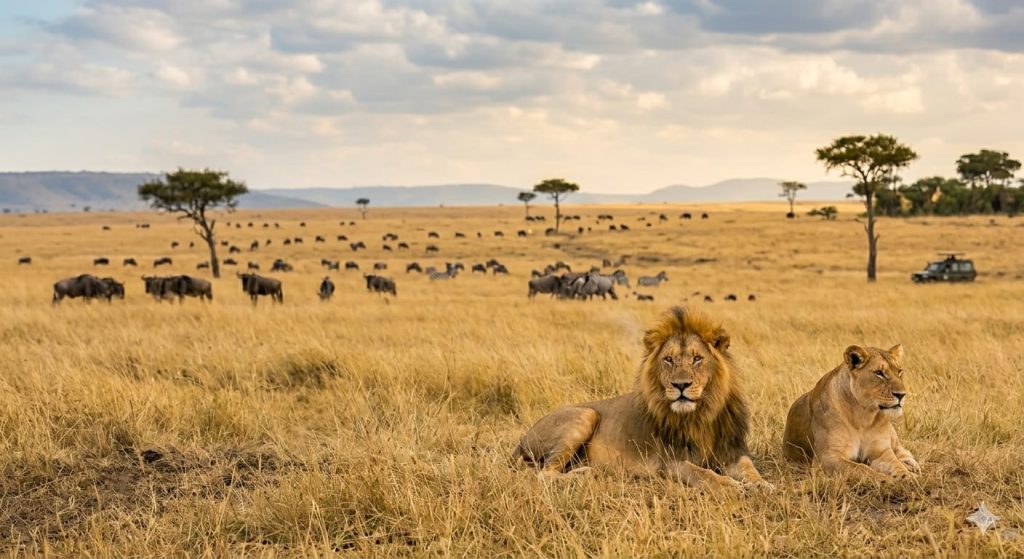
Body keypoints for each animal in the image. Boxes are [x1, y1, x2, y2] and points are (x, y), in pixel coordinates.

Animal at [512, 306, 770, 490]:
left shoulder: (732, 451)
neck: (702, 414)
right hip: (586, 414)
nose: (681, 385)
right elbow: (704, 474)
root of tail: (521, 440)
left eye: (697, 358)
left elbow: (749, 468)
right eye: (668, 359)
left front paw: (761, 485)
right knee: (544, 474)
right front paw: (731, 486)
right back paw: (585, 474)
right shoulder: (671, 462)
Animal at [782, 344, 920, 480]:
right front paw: (885, 479)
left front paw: (908, 476)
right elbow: (861, 468)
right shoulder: (826, 457)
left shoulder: (881, 452)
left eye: (900, 371)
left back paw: (911, 465)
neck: (864, 416)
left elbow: (895, 463)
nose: (901, 395)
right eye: (879, 373)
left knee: (901, 450)